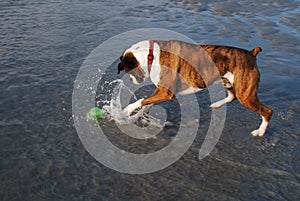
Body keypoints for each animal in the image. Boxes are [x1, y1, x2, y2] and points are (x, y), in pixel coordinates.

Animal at [117, 39, 272, 136]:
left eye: (128, 71)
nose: (130, 79)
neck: (151, 55)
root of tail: (251, 53)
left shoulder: (165, 93)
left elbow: (142, 100)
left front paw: (127, 111)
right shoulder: (160, 92)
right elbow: (146, 104)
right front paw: (136, 115)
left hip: (245, 95)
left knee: (267, 111)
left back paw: (260, 131)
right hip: (227, 82)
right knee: (232, 96)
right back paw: (216, 104)